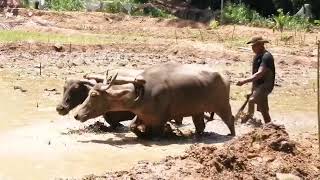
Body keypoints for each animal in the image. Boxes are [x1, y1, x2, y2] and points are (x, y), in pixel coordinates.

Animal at [74, 63, 235, 138]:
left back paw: (231, 135)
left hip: (222, 105)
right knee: (200, 125)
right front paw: (142, 134)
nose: (76, 115)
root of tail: (224, 76)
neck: (140, 94)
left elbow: (157, 133)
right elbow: (132, 126)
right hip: (198, 111)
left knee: (230, 119)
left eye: (94, 95)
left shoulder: (159, 120)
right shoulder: (142, 116)